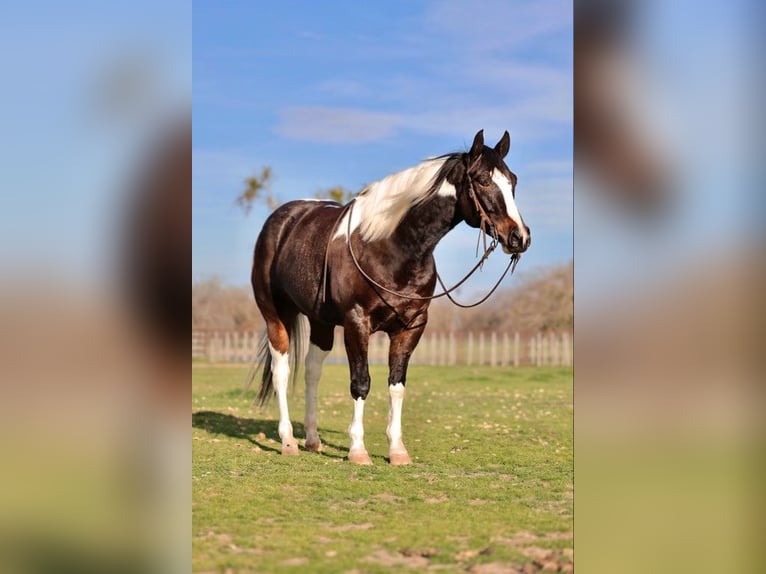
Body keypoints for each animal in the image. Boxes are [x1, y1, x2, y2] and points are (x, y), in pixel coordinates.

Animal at [252, 130, 536, 468]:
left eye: (512, 180)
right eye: (482, 180)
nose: (519, 237)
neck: (391, 247)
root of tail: (282, 219)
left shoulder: (411, 326)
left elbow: (397, 385)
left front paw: (397, 450)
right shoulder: (356, 323)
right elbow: (361, 383)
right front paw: (358, 450)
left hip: (320, 323)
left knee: (312, 370)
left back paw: (312, 439)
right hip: (275, 315)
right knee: (281, 372)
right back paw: (287, 441)